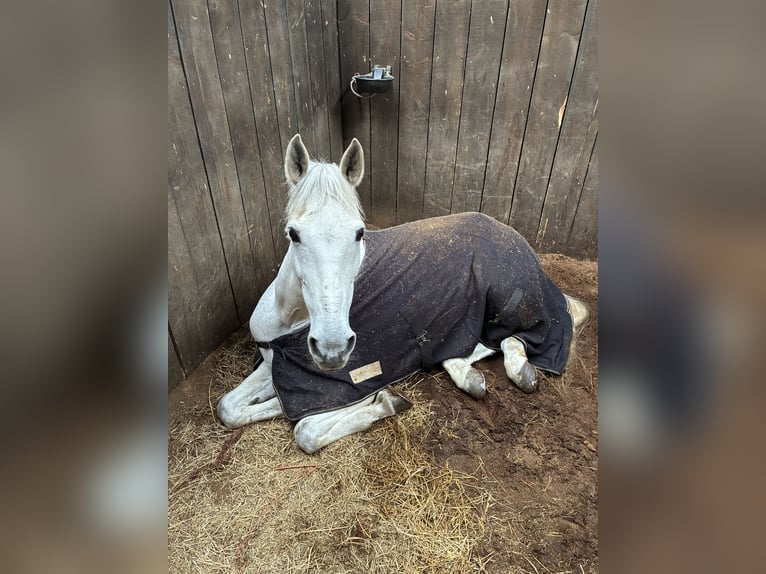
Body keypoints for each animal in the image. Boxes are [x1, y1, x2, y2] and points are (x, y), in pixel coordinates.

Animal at [217, 134, 589, 453]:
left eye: (360, 233)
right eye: (293, 233)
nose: (332, 347)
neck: (289, 318)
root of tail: (514, 236)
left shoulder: (353, 380)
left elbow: (305, 429)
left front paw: (385, 400)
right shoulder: (275, 367)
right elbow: (229, 408)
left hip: (510, 302)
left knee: (527, 334)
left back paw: (520, 368)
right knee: (473, 345)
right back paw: (466, 374)